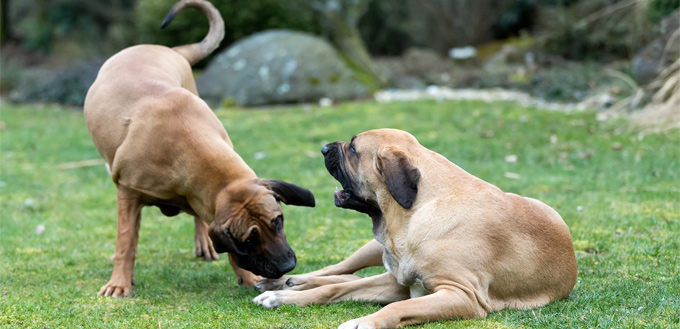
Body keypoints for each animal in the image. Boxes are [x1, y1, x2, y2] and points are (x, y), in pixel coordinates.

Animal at [82, 0, 314, 298]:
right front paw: (119, 282)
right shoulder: (128, 194)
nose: (288, 266)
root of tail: (169, 50)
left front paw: (246, 276)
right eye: (249, 240)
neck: (185, 144)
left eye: (278, 221)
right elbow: (126, 243)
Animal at [252, 129, 576, 328]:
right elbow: (335, 288)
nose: (323, 148)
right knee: (336, 272)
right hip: (372, 249)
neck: (419, 209)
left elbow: (392, 306)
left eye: (353, 148)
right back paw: (283, 283)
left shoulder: (460, 295)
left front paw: (364, 321)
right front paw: (284, 297)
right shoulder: (399, 282)